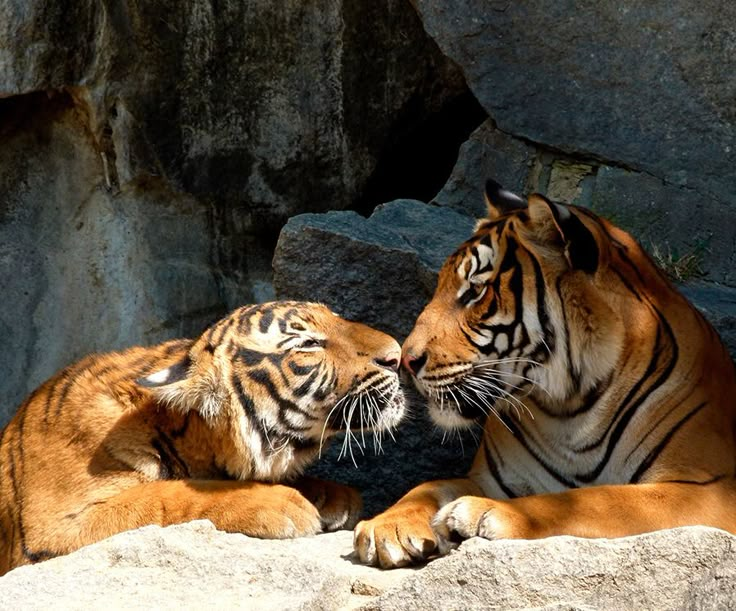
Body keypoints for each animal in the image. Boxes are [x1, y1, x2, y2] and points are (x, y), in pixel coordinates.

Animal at [0, 304, 408, 576]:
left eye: (336, 317)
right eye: (308, 343)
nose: (397, 354)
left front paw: (334, 495)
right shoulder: (54, 528)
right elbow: (164, 495)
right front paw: (283, 503)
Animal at [354, 178, 736, 568]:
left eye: (475, 291)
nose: (405, 359)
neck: (570, 409)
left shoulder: (707, 489)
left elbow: (592, 498)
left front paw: (484, 512)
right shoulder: (491, 477)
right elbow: (430, 485)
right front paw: (389, 525)